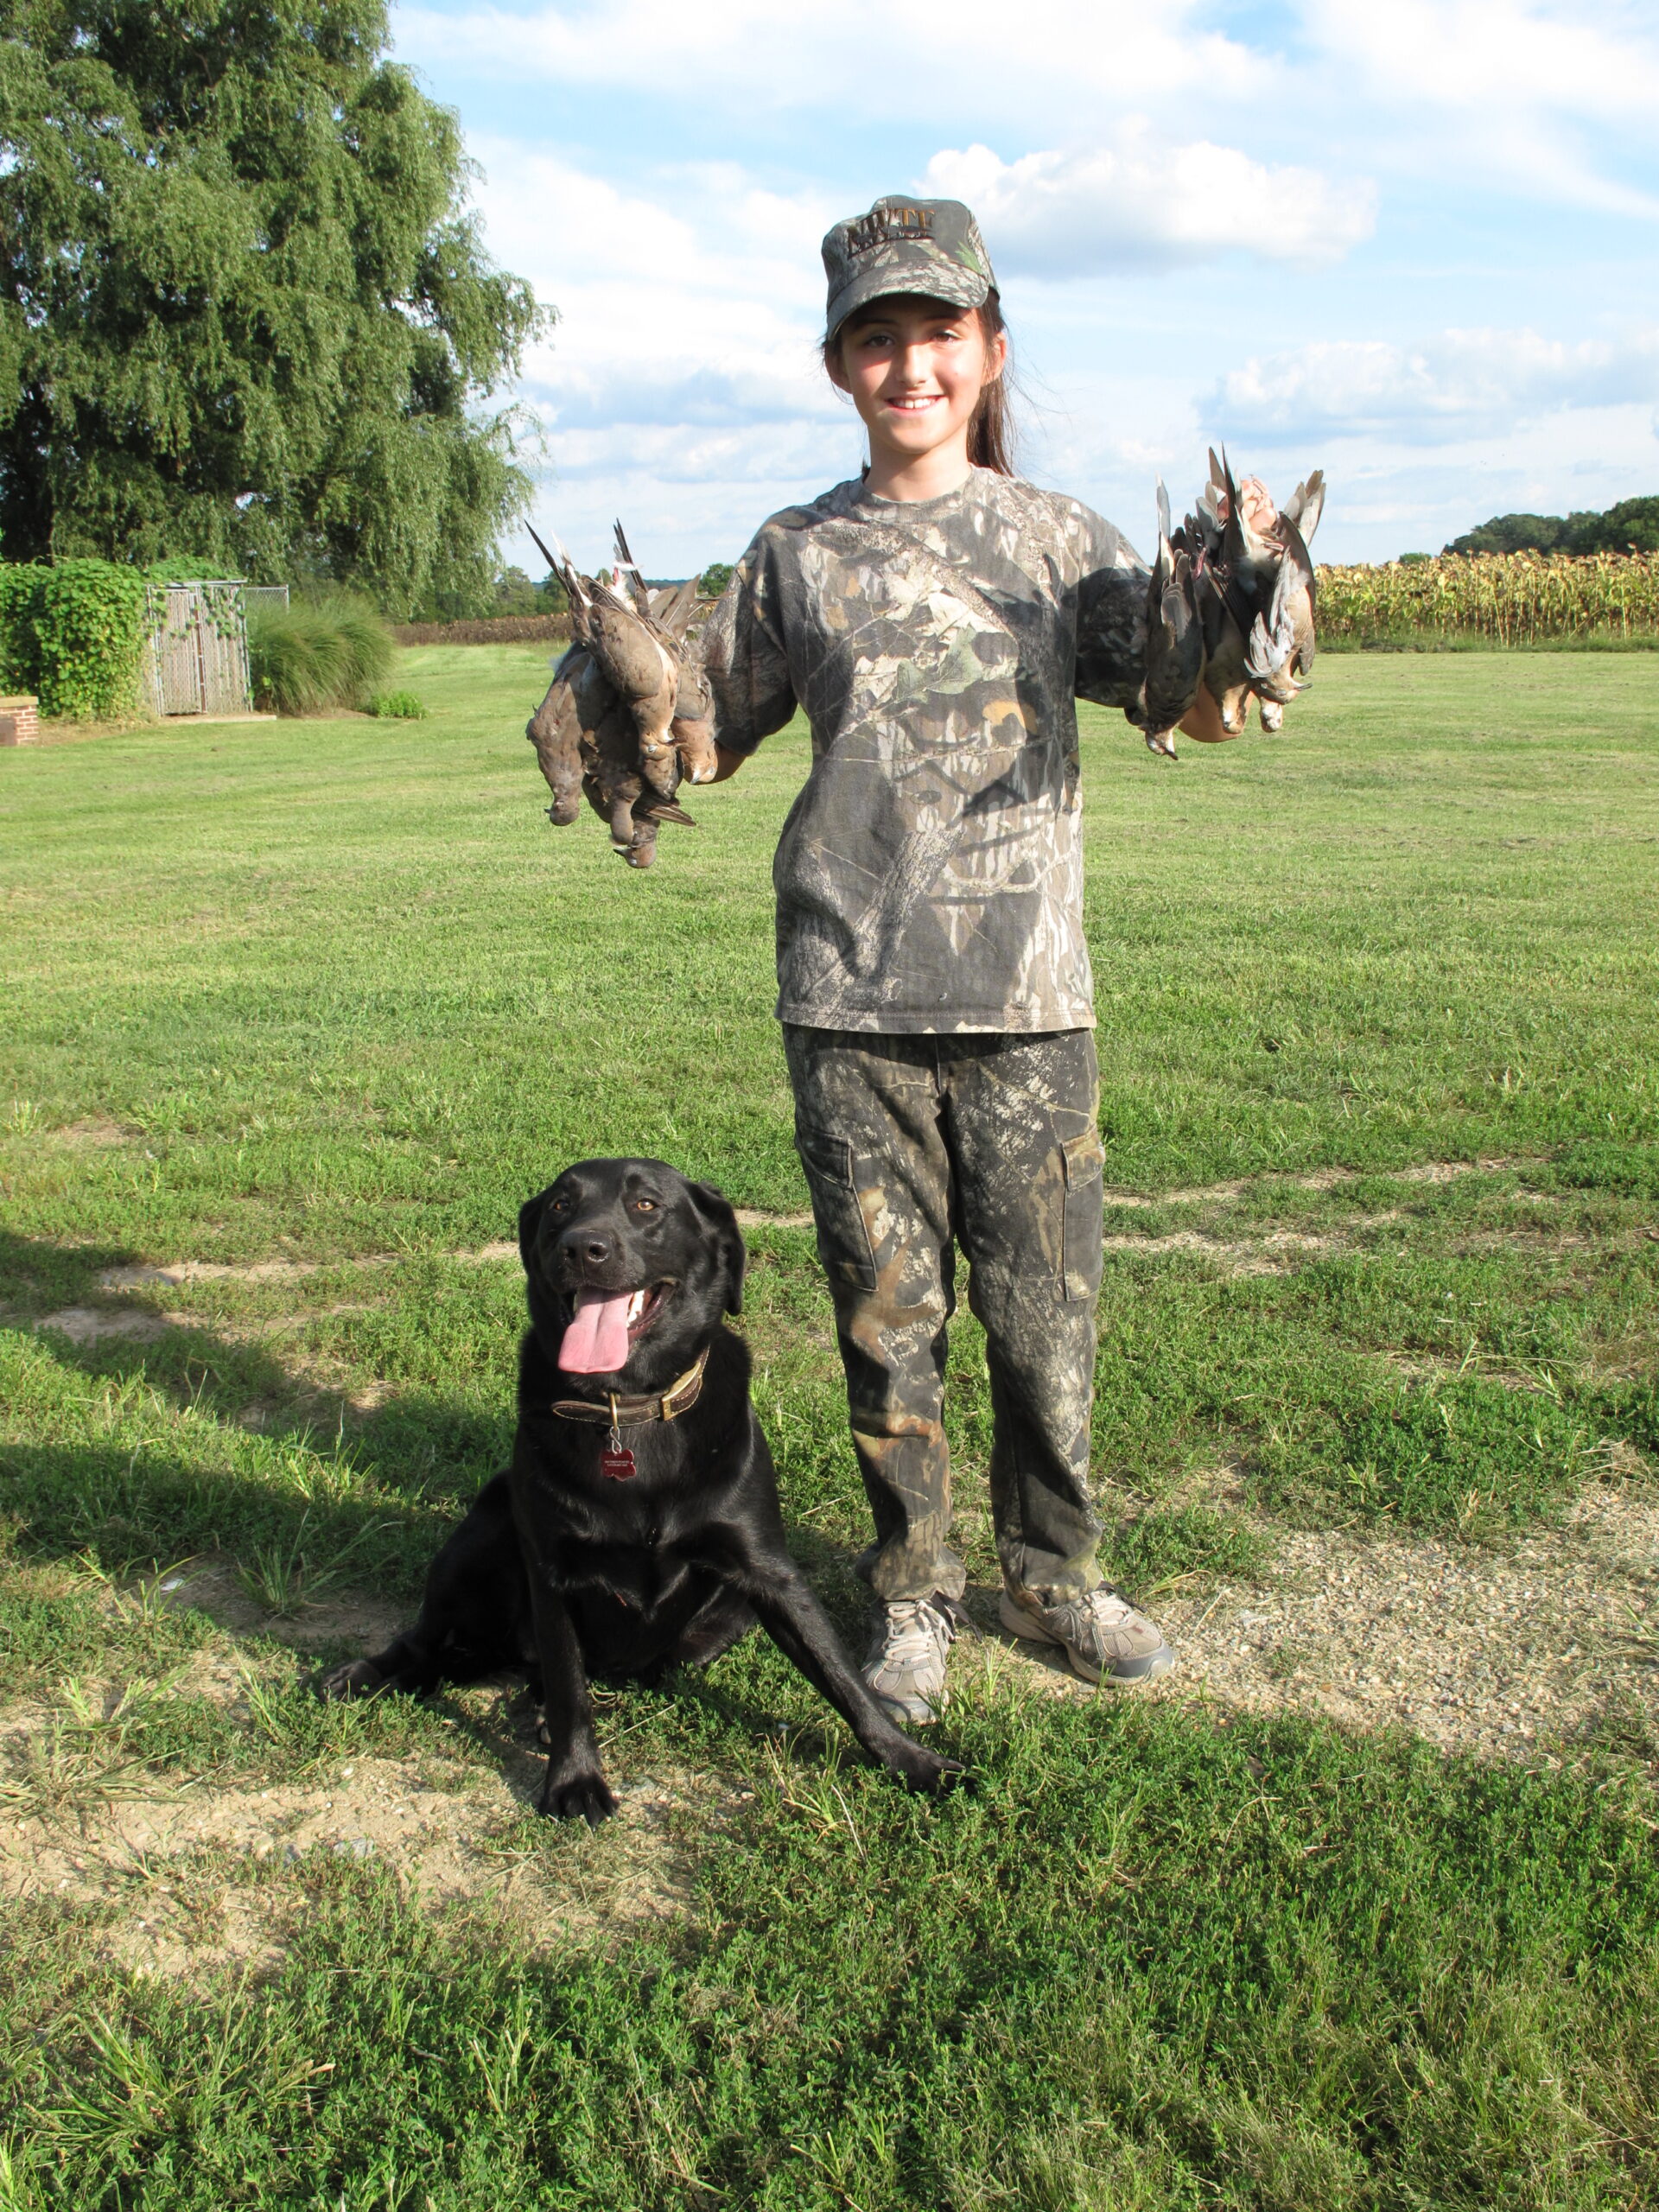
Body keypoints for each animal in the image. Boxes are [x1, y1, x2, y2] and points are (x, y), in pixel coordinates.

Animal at [321, 1159, 960, 1814]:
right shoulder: (550, 1574)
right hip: (483, 1531)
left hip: (718, 1624)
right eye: (560, 1206)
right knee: (431, 1642)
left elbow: (840, 1675)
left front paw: (916, 1762)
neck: (626, 1408)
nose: (583, 1247)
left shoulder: (767, 1569)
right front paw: (574, 1780)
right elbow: (569, 1686)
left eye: (647, 1205)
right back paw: (364, 1677)